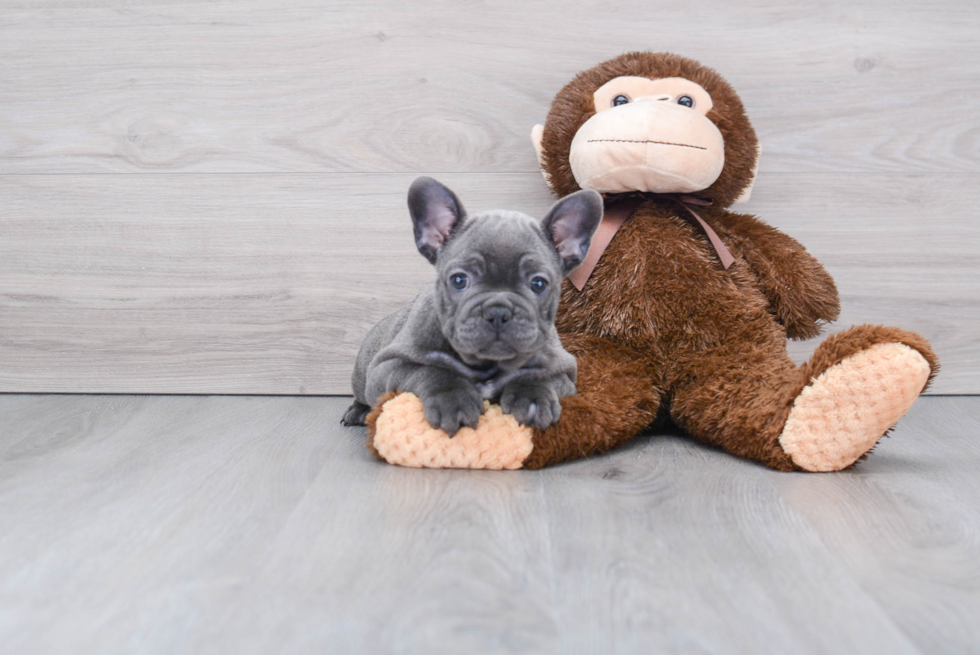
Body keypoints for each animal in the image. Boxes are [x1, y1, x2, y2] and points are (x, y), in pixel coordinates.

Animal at [344, 177, 604, 438]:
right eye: (459, 280)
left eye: (538, 284)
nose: (498, 311)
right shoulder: (387, 365)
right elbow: (429, 370)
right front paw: (453, 400)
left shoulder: (563, 370)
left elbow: (538, 375)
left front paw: (533, 396)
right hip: (362, 373)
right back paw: (357, 411)